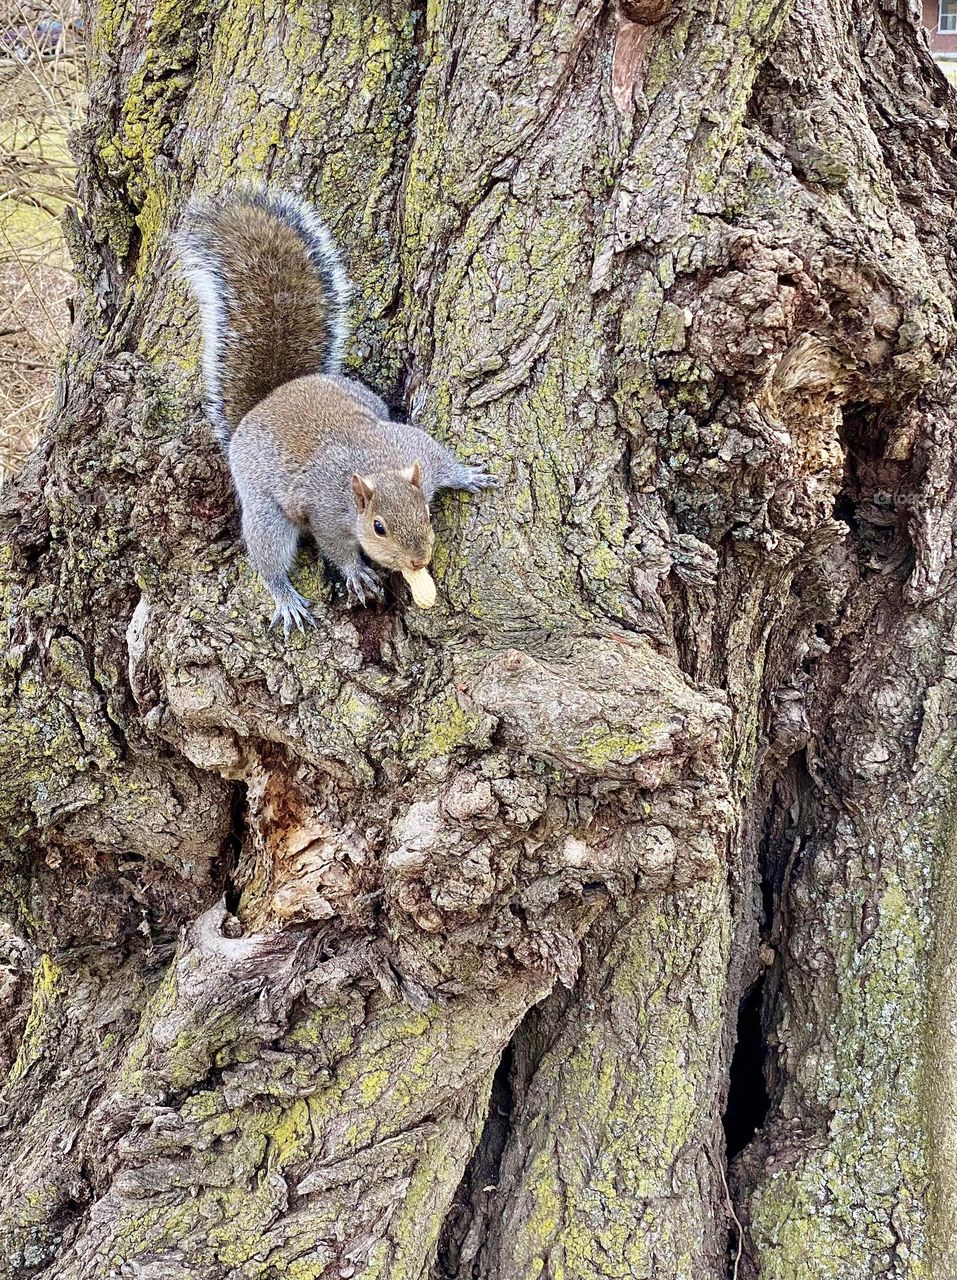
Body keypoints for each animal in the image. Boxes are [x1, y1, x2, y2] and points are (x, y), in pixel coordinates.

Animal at [177, 189, 496, 631]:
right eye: (378, 528)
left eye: (427, 514)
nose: (418, 560)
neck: (377, 468)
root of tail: (268, 400)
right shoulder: (326, 512)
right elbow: (335, 547)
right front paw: (356, 573)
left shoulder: (415, 449)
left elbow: (442, 460)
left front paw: (469, 475)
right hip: (263, 508)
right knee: (268, 557)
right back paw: (285, 597)